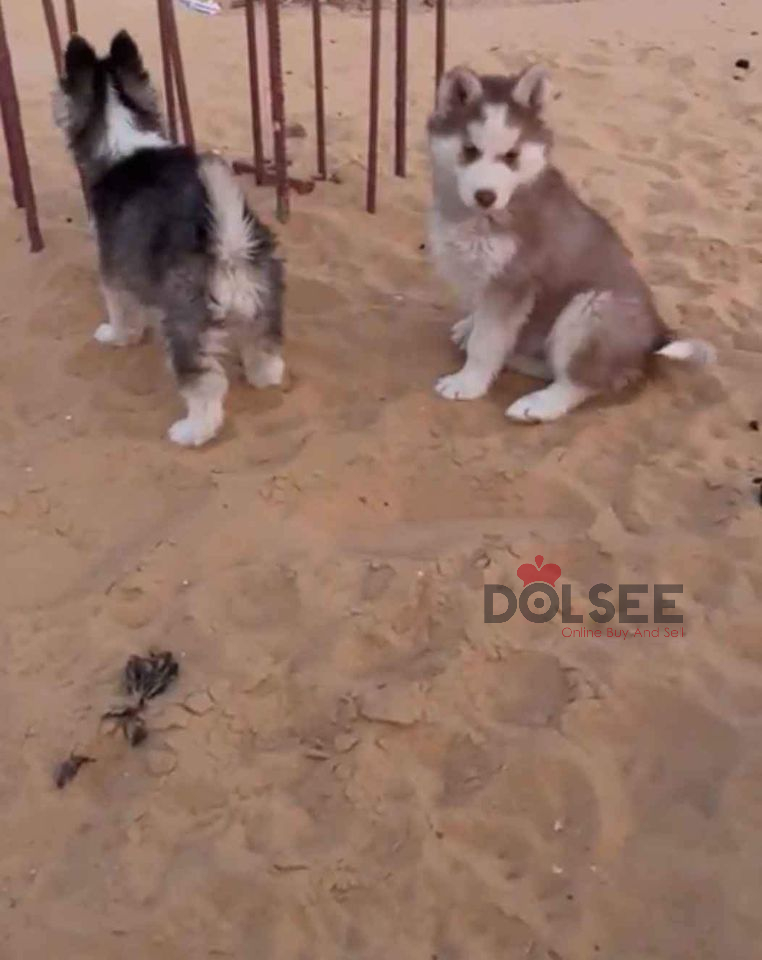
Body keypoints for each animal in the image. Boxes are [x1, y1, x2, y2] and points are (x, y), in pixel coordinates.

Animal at [54, 31, 284, 447]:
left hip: (185, 324)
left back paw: (190, 431)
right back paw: (261, 375)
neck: (122, 136)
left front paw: (115, 335)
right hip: (264, 302)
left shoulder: (113, 270)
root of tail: (227, 249)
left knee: (206, 387)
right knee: (266, 355)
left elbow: (121, 312)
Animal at [427, 64, 714, 422]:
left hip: (592, 310)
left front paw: (468, 383)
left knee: (579, 382)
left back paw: (537, 404)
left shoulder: (512, 282)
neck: (480, 217)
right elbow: (481, 319)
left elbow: (487, 341)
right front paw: (469, 328)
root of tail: (655, 337)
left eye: (511, 156)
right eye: (469, 150)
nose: (485, 196)